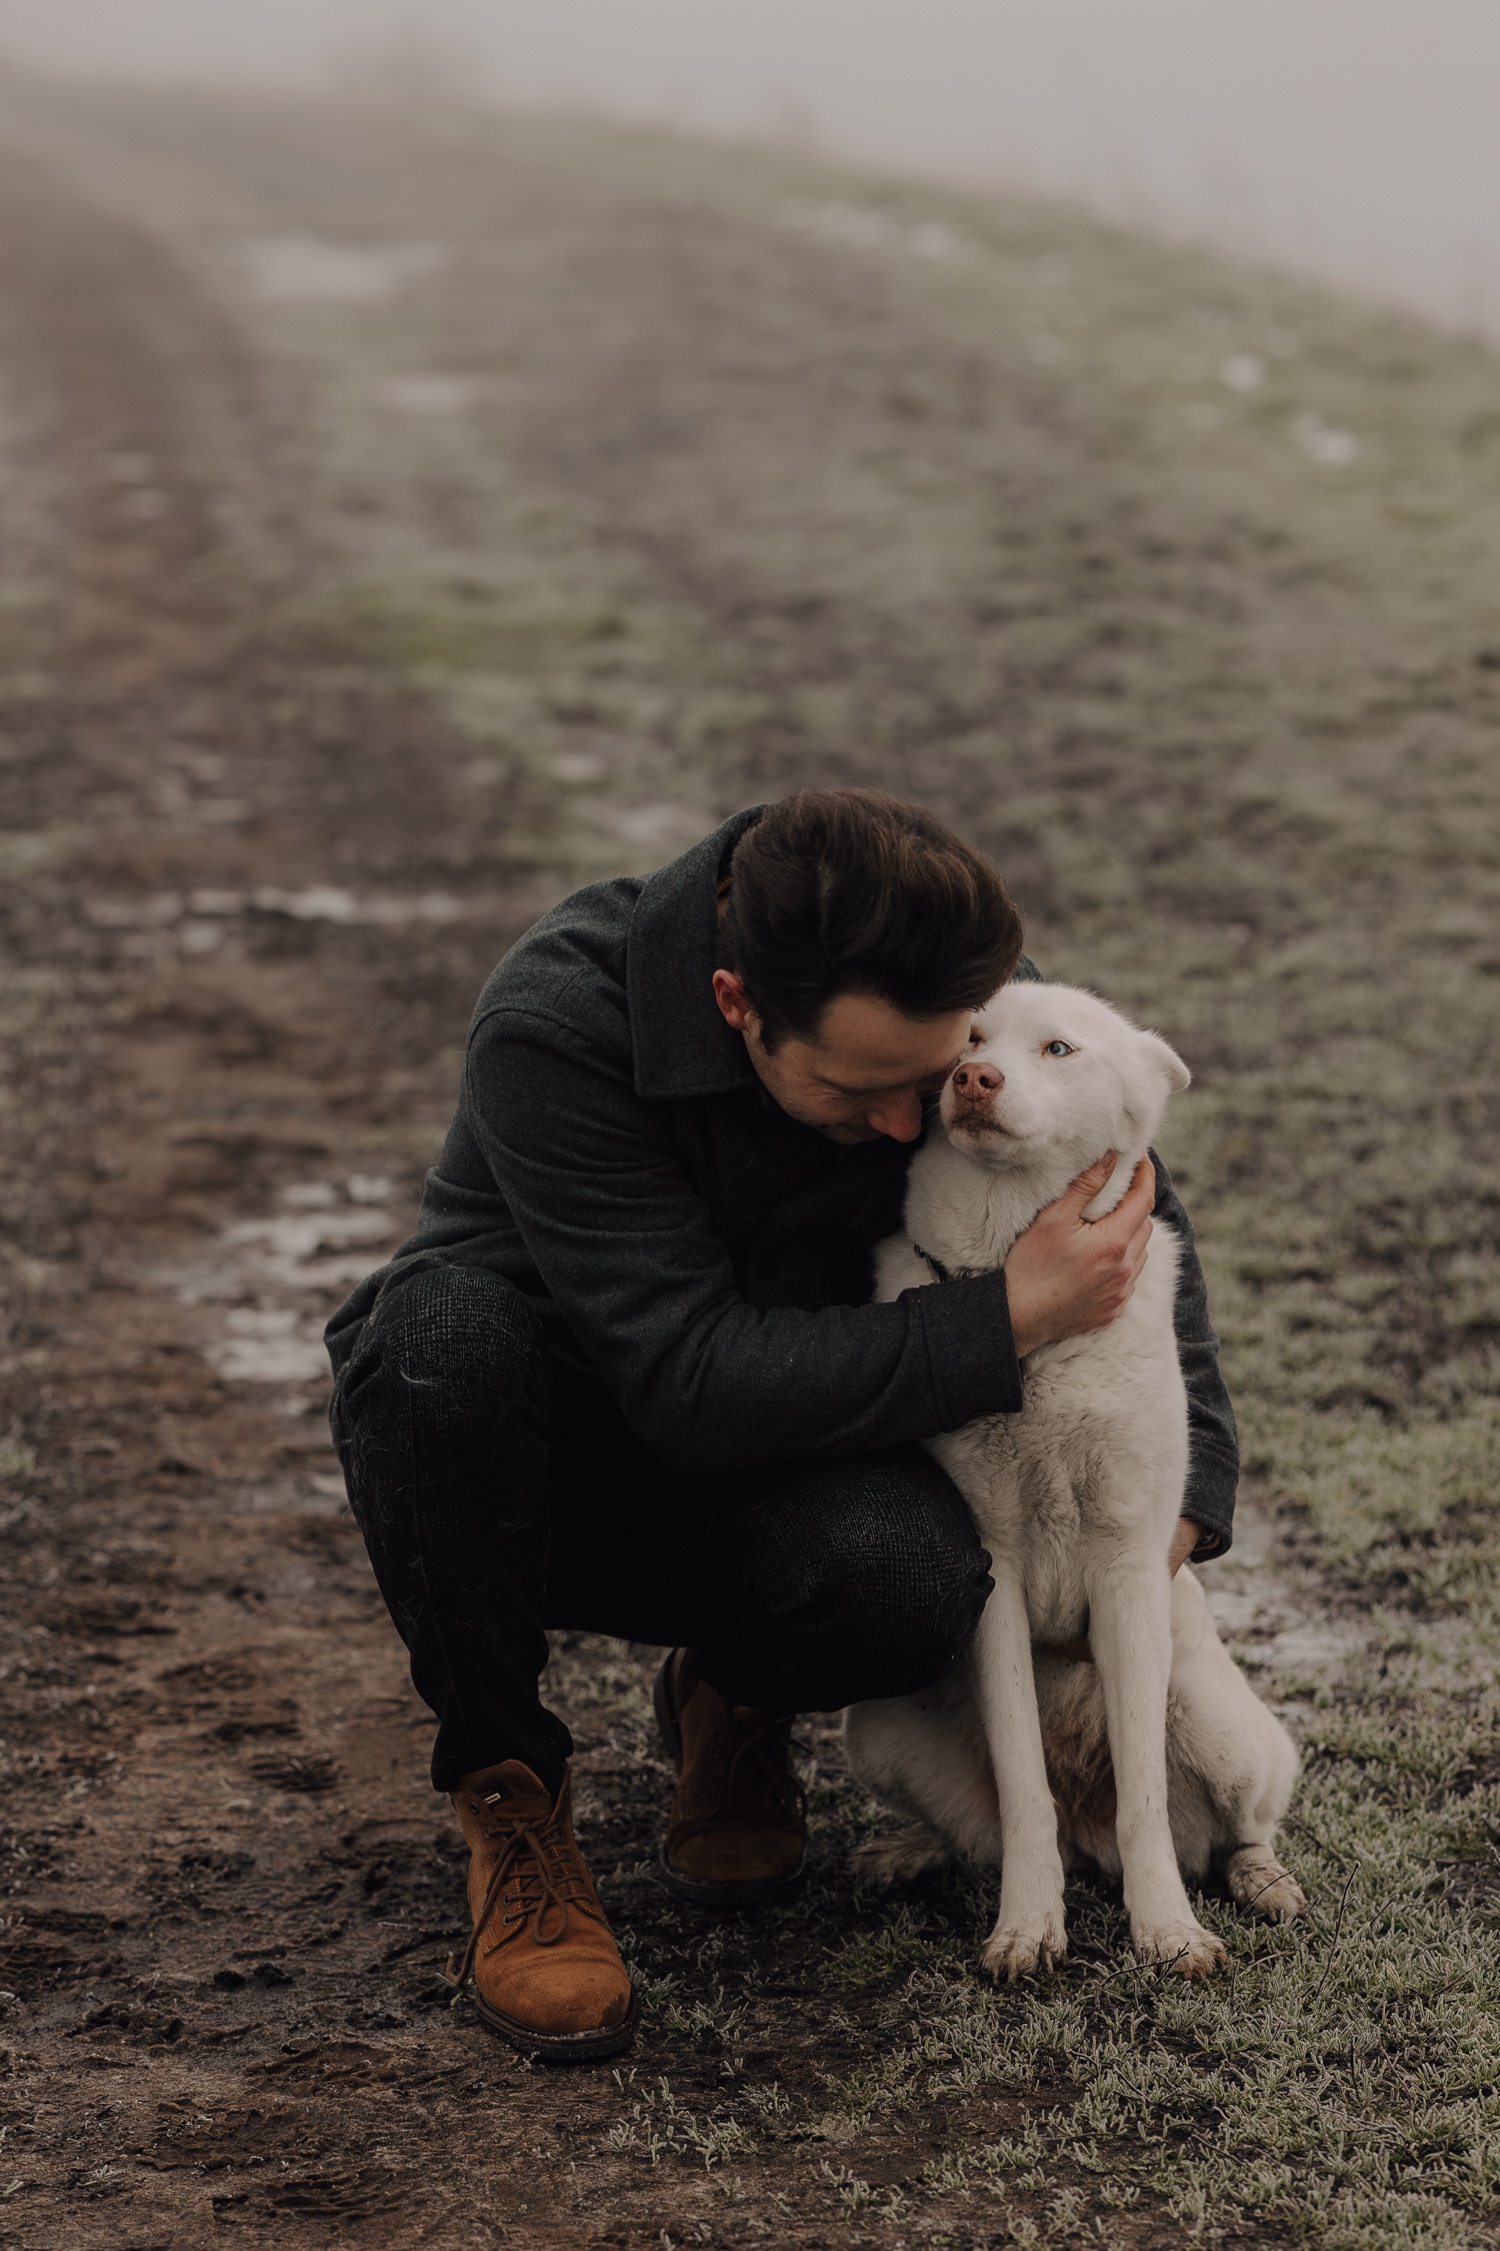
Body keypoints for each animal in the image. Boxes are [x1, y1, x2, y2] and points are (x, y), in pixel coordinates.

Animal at [846, 981, 1306, 1971]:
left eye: (1057, 1048)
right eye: (970, 1039)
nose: (972, 1079)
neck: (1022, 1300)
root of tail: (1086, 1840)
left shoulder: (1129, 1569)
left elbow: (1144, 1802)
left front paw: (1167, 1929)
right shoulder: (994, 1573)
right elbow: (1026, 1789)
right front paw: (1028, 1924)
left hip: (1219, 1724)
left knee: (1235, 1830)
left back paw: (1261, 1880)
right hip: (879, 1727)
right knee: (988, 1834)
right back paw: (911, 1851)